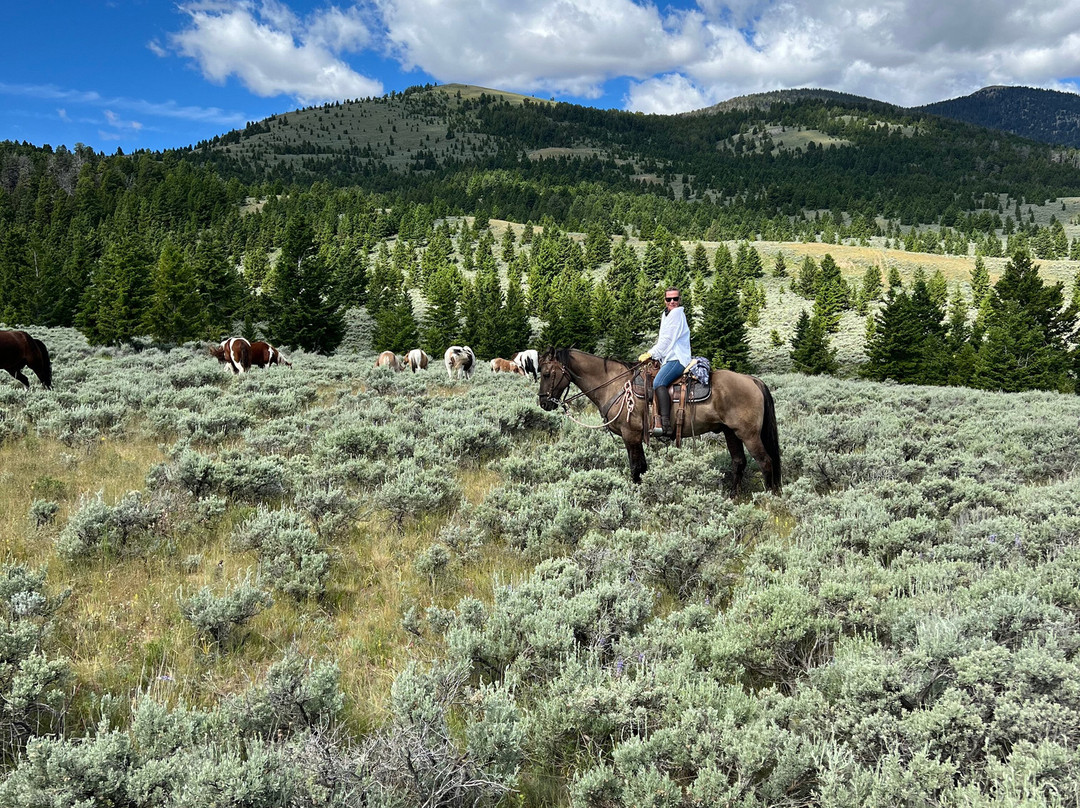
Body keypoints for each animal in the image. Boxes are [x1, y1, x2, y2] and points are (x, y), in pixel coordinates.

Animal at [540, 345, 786, 492]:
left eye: (545, 373)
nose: (543, 403)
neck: (616, 384)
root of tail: (753, 380)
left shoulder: (631, 435)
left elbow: (636, 467)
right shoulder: (635, 438)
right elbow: (642, 467)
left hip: (748, 434)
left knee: (766, 462)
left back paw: (769, 497)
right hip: (730, 432)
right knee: (739, 462)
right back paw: (733, 497)